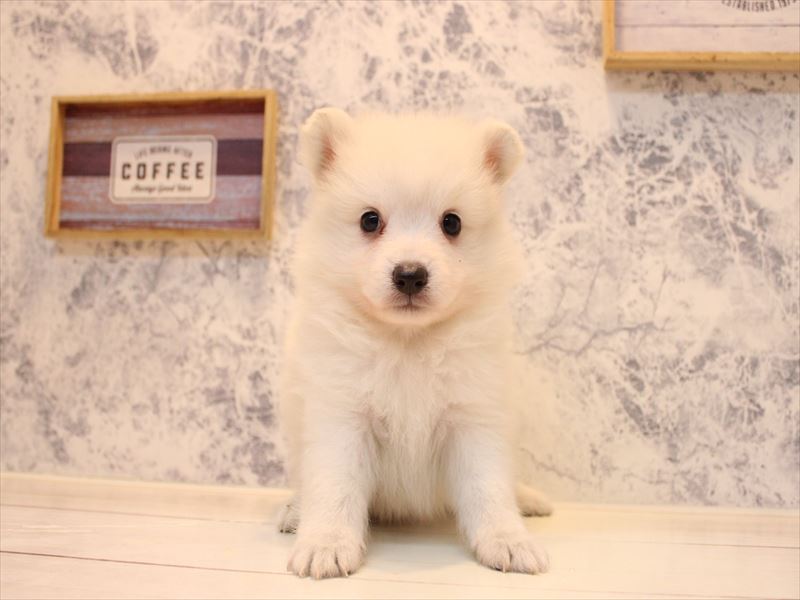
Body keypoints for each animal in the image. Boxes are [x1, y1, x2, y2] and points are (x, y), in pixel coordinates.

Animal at [279, 109, 552, 579]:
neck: (408, 341)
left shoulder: (474, 416)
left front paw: (508, 540)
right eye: (370, 220)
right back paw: (296, 514)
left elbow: (488, 487)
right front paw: (326, 543)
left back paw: (529, 498)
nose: (410, 274)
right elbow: (334, 486)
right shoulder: (341, 415)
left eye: (452, 223)